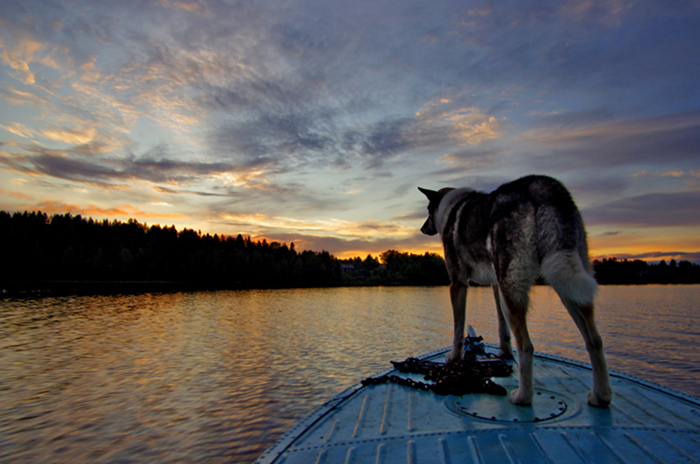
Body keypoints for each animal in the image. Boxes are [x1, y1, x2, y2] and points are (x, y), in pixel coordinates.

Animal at [422, 176, 612, 408]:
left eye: (428, 210)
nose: (422, 228)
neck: (452, 207)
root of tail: (541, 187)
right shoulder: (496, 284)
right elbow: (502, 326)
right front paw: (504, 353)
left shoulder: (458, 282)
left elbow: (458, 327)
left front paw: (454, 357)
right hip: (568, 282)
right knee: (594, 340)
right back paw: (601, 395)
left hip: (516, 285)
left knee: (527, 346)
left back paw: (523, 397)